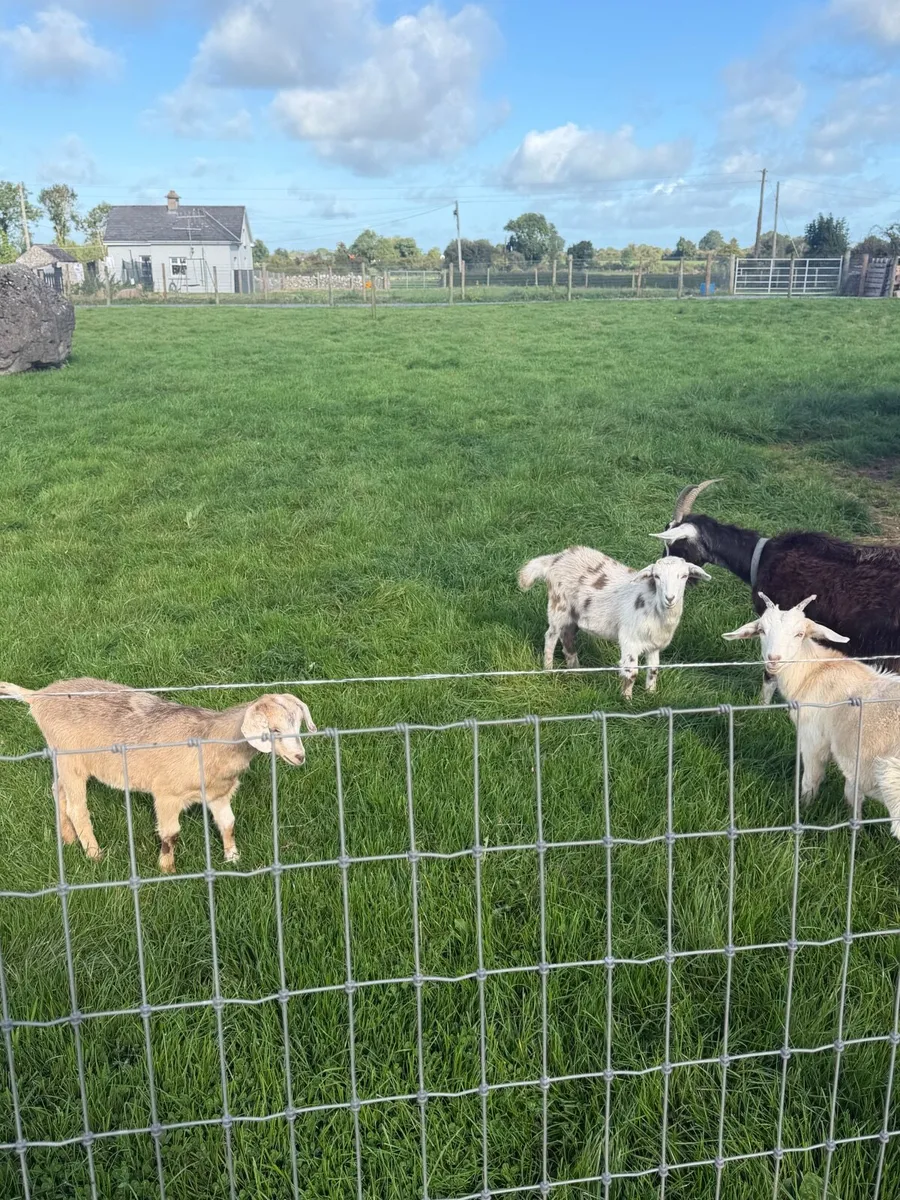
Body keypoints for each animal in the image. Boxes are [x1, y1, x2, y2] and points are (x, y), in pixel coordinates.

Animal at [0, 678, 316, 873]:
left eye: (299, 724)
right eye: (273, 730)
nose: (299, 757)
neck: (210, 740)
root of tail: (36, 697)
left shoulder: (218, 793)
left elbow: (228, 823)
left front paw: (233, 858)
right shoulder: (167, 794)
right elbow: (170, 834)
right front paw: (168, 870)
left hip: (64, 760)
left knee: (58, 791)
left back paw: (66, 838)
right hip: (71, 761)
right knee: (77, 807)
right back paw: (94, 854)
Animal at [519, 548, 710, 698]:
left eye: (684, 576)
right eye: (656, 576)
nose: (670, 598)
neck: (653, 605)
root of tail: (556, 558)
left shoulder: (654, 644)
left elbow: (653, 670)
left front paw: (651, 695)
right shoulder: (630, 640)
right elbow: (631, 673)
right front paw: (627, 701)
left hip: (573, 614)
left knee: (567, 637)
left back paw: (576, 670)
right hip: (559, 606)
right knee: (551, 636)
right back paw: (548, 669)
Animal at [723, 594, 900, 835]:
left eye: (799, 634)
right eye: (761, 630)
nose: (774, 659)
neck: (815, 671)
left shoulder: (813, 739)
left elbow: (811, 781)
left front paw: (805, 809)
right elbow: (852, 795)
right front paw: (856, 830)